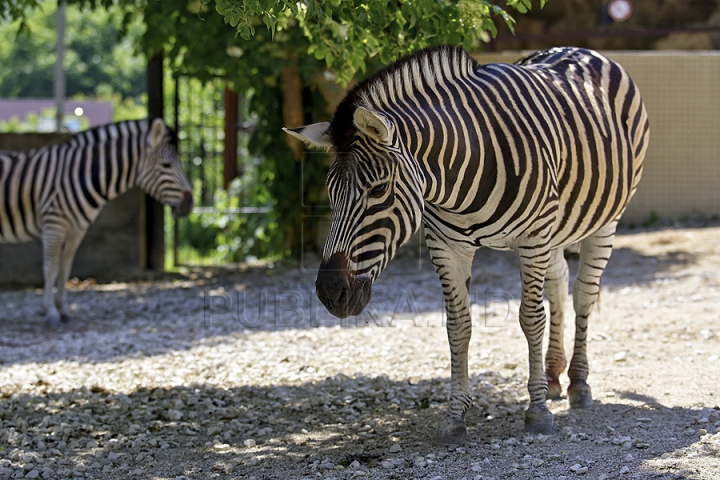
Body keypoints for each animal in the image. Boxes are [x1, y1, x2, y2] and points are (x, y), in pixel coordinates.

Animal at [0, 118, 193, 328]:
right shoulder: (54, 224)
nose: (190, 204)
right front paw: (51, 312)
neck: (80, 174)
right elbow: (51, 269)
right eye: (166, 165)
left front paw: (63, 310)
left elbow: (65, 269)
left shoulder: (77, 229)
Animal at [286, 47, 652, 444]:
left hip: (604, 220)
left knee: (584, 293)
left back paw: (579, 383)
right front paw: (455, 416)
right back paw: (554, 375)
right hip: (557, 226)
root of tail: (582, 50)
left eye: (379, 189)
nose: (329, 291)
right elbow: (458, 326)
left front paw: (536, 412)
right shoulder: (447, 245)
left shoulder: (533, 238)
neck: (459, 171)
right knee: (558, 284)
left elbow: (530, 318)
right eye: (331, 192)